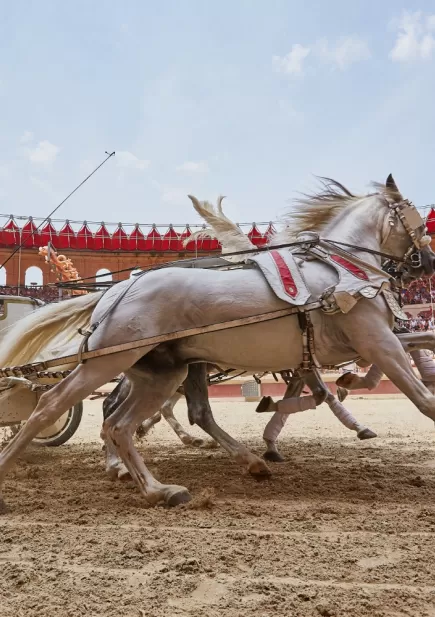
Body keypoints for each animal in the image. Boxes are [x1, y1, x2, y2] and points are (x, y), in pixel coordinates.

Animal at [0, 174, 435, 510]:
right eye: (419, 220)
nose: (428, 263)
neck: (340, 271)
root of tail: (118, 290)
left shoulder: (338, 350)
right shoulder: (375, 340)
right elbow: (418, 394)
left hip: (162, 372)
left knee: (120, 423)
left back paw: (161, 488)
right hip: (108, 363)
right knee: (53, 406)